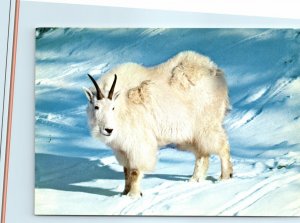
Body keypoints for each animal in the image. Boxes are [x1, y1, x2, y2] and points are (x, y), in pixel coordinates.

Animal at [83, 50, 233, 197]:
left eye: (113, 107)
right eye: (96, 106)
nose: (108, 130)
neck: (123, 105)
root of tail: (217, 72)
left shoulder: (138, 142)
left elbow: (135, 170)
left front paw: (134, 194)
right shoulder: (122, 148)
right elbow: (126, 170)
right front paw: (124, 192)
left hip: (207, 124)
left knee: (222, 145)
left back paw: (225, 176)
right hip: (191, 134)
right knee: (202, 153)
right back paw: (195, 179)